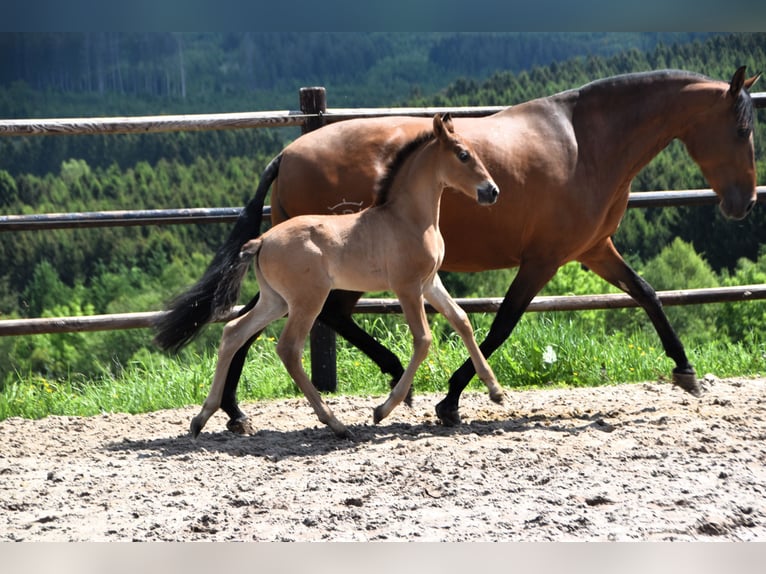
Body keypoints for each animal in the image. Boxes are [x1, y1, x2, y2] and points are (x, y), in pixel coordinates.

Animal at [154, 67, 760, 432]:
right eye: (741, 129)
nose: (745, 203)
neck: (586, 144)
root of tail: (286, 152)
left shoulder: (594, 251)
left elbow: (649, 295)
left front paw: (686, 371)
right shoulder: (543, 260)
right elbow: (501, 324)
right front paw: (451, 399)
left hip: (314, 279)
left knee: (256, 325)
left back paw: (235, 411)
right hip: (327, 277)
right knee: (290, 325)